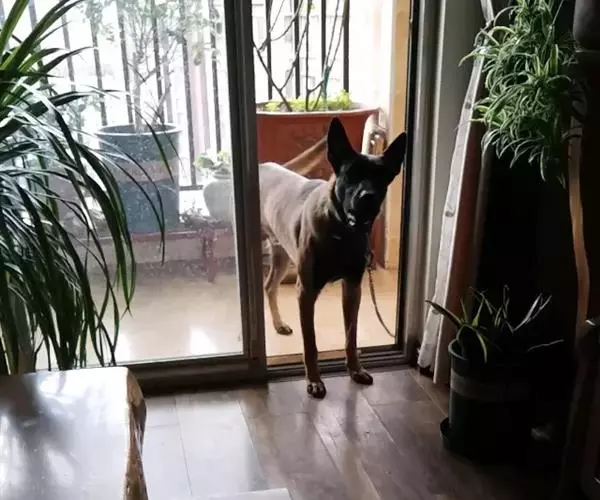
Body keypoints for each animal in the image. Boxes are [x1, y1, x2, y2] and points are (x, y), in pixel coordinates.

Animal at [259, 118, 407, 398]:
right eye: (351, 174)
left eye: (381, 177)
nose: (368, 198)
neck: (342, 230)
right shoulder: (306, 291)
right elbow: (311, 343)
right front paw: (314, 380)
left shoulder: (353, 288)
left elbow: (351, 335)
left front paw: (355, 369)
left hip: (281, 253)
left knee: (269, 286)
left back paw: (278, 323)